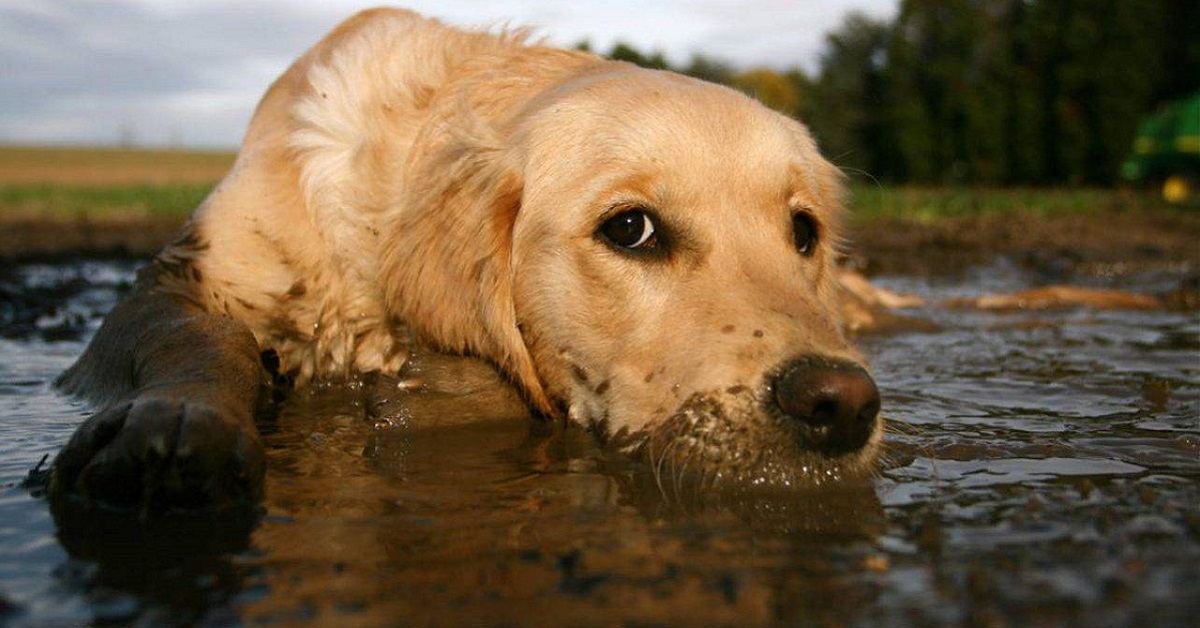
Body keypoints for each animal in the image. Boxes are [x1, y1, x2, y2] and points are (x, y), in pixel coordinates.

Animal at [51, 7, 888, 513]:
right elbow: (206, 335)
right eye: (631, 229)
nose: (840, 403)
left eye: (803, 231)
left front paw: (434, 390)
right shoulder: (176, 282)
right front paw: (176, 426)